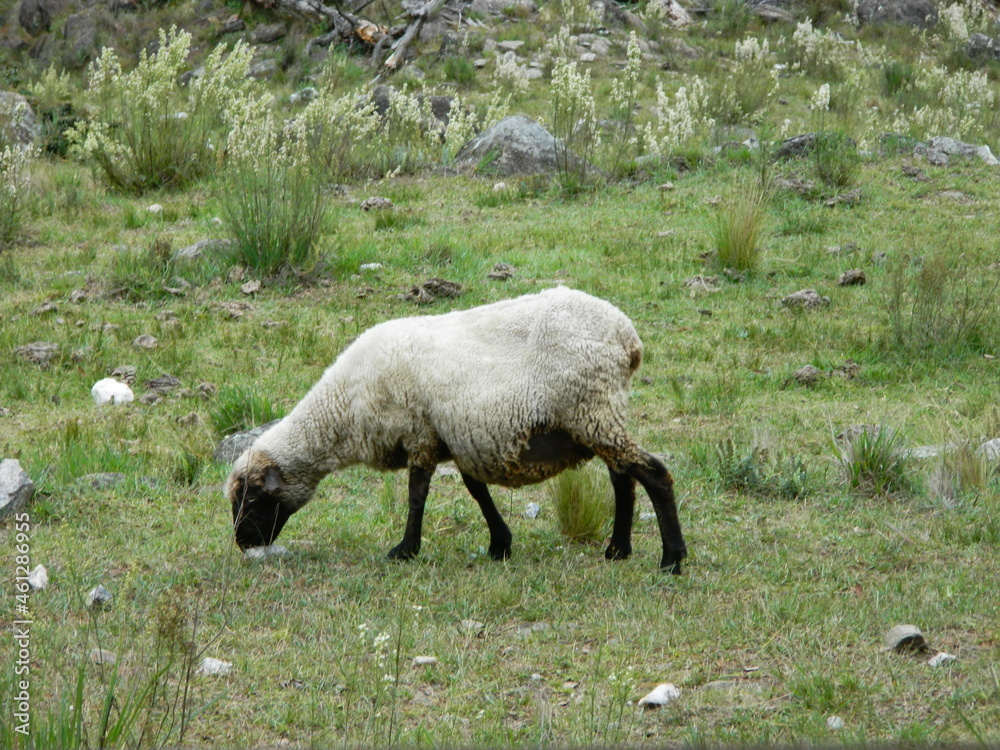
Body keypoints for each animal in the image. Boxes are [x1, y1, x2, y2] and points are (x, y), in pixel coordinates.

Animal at [226, 286, 687, 573]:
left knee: (654, 473)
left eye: (251, 499)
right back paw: (617, 550)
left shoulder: (419, 434)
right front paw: (500, 544)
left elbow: (417, 497)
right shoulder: (455, 436)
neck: (343, 407)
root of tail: (627, 336)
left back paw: (672, 560)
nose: (243, 545)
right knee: (623, 479)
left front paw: (405, 550)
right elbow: (476, 490)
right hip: (595, 417)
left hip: (591, 408)